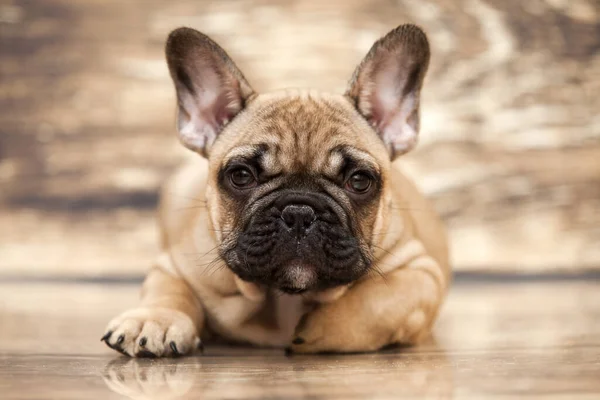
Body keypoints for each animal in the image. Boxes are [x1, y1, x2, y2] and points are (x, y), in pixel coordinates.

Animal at [103, 24, 450, 356]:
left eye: (359, 180)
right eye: (241, 176)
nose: (299, 213)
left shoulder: (422, 273)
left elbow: (377, 301)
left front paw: (316, 330)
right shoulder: (175, 265)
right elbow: (168, 292)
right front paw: (155, 320)